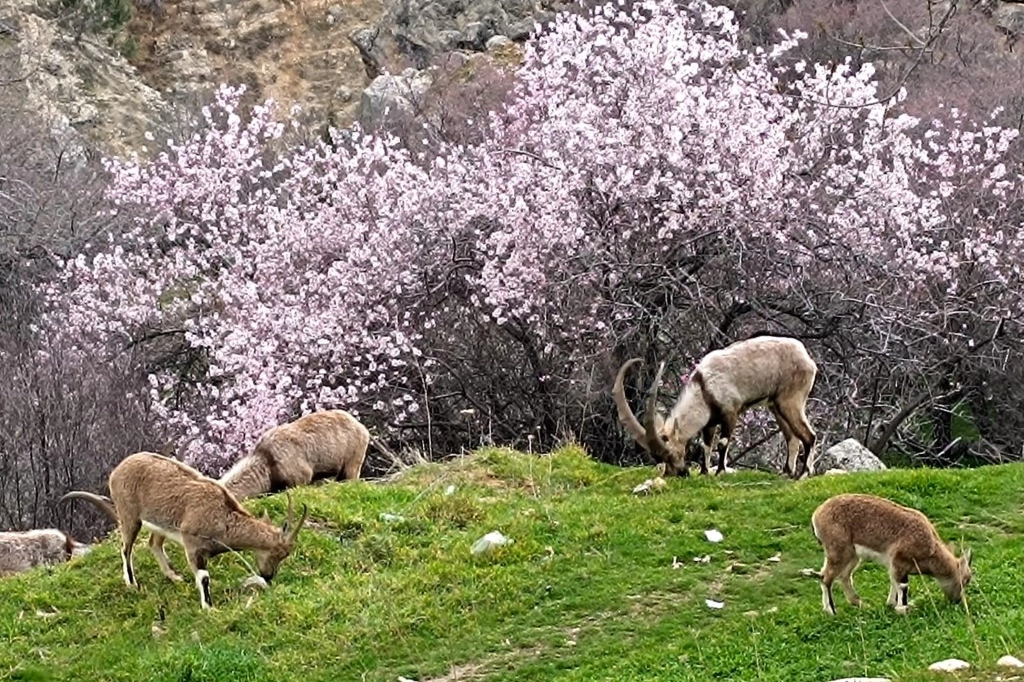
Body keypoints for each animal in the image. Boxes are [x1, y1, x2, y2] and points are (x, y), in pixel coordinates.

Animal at [60, 450, 305, 606]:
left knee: (153, 543)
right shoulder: (192, 545)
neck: (222, 516)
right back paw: (132, 584)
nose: (268, 576)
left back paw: (173, 576)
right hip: (129, 516)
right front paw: (209, 607)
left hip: (159, 525)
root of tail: (117, 470)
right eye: (278, 553)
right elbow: (204, 577)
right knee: (126, 548)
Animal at [610, 335, 819, 475]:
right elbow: (706, 445)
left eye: (671, 453)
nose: (679, 473)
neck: (704, 387)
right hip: (776, 406)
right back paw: (787, 473)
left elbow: (722, 442)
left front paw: (720, 472)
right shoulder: (709, 422)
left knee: (809, 435)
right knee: (792, 438)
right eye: (658, 458)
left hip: (791, 400)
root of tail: (807, 359)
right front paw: (704, 472)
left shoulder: (730, 412)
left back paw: (803, 474)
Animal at [811, 491, 970, 614]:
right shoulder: (899, 562)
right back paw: (831, 611)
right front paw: (902, 609)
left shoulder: (894, 566)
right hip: (838, 552)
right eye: (965, 580)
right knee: (826, 578)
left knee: (843, 577)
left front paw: (892, 604)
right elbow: (902, 586)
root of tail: (817, 515)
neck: (929, 547)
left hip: (852, 556)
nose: (957, 600)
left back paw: (862, 604)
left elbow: (894, 583)